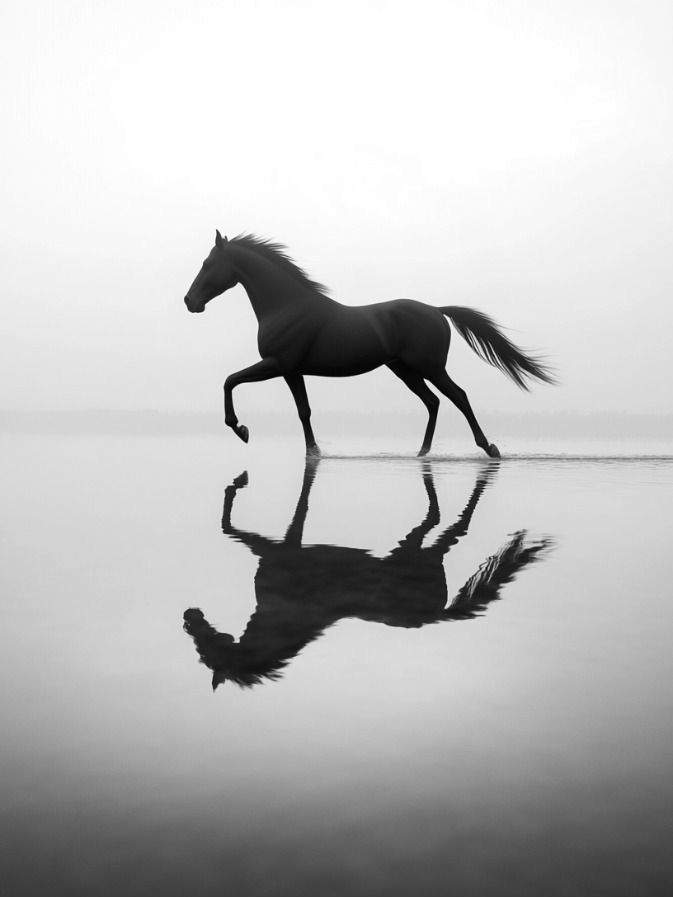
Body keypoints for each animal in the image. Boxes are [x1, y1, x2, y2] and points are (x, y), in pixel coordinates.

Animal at [183, 460, 552, 689]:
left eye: (205, 653)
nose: (189, 617)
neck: (283, 615)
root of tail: (435, 616)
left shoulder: (273, 549)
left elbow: (228, 525)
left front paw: (238, 482)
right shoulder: (280, 545)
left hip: (418, 552)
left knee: (453, 527)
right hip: (413, 549)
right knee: (441, 522)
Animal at [184, 232, 555, 457]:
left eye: (207, 264)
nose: (189, 301)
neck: (286, 306)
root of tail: (437, 310)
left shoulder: (280, 365)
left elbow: (231, 381)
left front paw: (241, 429)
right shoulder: (293, 371)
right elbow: (303, 410)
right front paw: (313, 451)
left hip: (429, 367)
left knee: (458, 397)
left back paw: (488, 448)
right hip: (404, 370)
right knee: (433, 402)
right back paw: (422, 452)